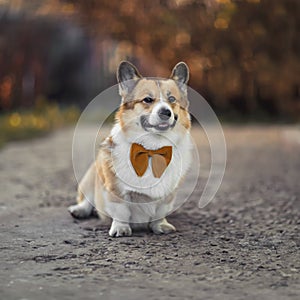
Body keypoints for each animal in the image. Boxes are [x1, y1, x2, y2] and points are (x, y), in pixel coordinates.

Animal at [68, 61, 192, 237]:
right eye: (147, 99)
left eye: (172, 99)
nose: (165, 112)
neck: (152, 149)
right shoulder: (116, 191)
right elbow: (121, 211)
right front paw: (121, 228)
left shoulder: (168, 194)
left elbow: (160, 211)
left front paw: (161, 225)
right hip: (91, 176)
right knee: (87, 200)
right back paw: (79, 210)